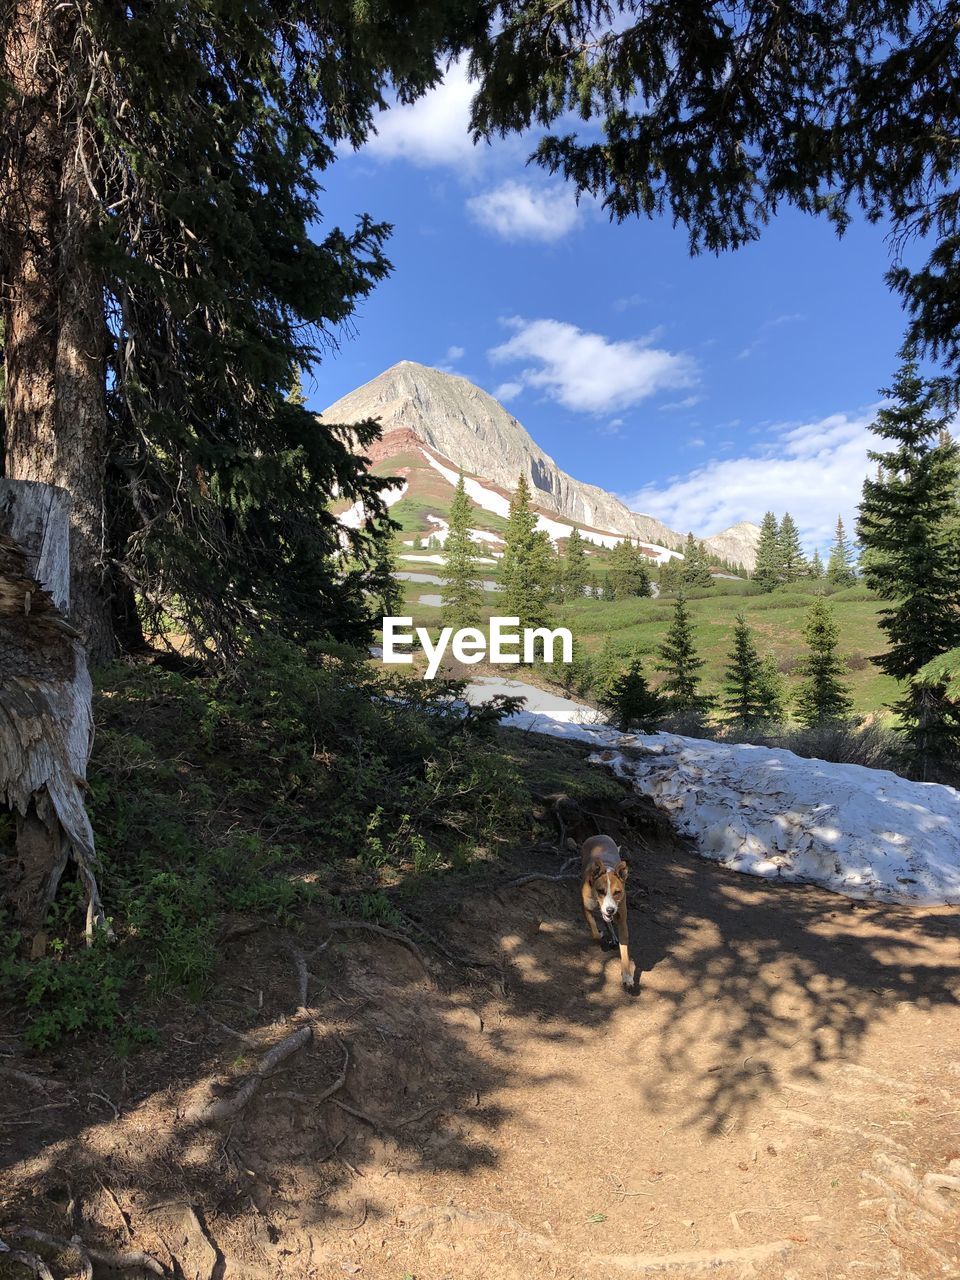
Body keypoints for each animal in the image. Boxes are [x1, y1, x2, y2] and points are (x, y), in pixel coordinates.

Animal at [578, 834, 640, 993]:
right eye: (601, 891)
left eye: (617, 892)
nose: (610, 910)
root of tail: (598, 835)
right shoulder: (585, 908)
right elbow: (594, 931)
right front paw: (599, 934)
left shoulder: (622, 919)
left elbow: (624, 951)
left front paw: (627, 978)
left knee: (608, 923)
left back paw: (613, 936)